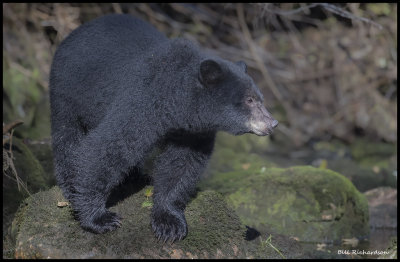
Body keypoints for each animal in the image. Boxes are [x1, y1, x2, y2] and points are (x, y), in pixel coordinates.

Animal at [50, 14, 278, 243]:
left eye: (261, 98)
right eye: (249, 100)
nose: (272, 123)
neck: (176, 105)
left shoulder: (193, 133)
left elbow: (181, 165)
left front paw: (169, 223)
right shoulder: (141, 101)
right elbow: (108, 146)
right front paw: (99, 218)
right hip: (67, 90)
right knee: (67, 137)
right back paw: (69, 184)